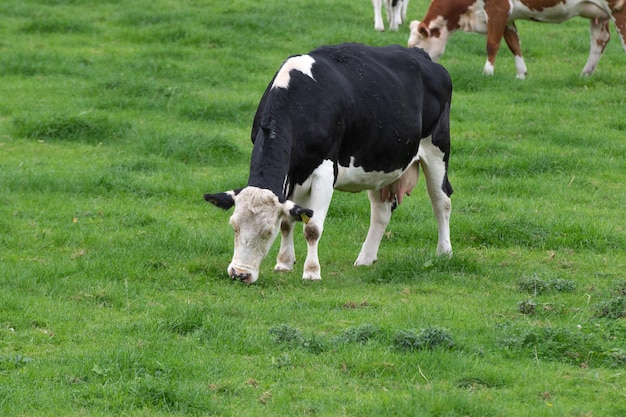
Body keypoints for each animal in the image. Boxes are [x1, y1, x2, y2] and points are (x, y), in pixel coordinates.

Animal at [404, 0, 624, 78]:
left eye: (416, 46)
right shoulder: (508, 18)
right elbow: (514, 45)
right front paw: (521, 74)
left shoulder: (498, 10)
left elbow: (492, 44)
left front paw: (487, 72)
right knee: (599, 41)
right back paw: (585, 74)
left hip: (618, 9)